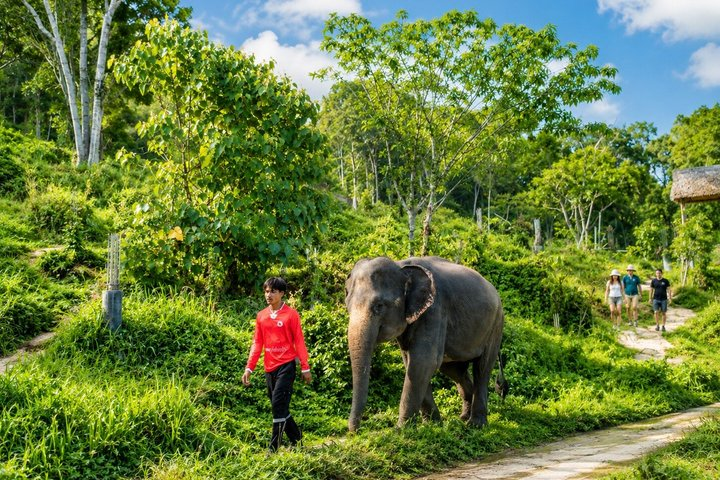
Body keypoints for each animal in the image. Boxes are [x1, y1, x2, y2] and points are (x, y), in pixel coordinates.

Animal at [345, 256, 504, 432]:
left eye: (379, 306)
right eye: (348, 307)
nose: (356, 430)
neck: (401, 266)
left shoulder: (435, 310)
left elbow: (422, 362)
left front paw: (401, 430)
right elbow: (413, 363)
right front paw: (432, 424)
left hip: (496, 325)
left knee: (482, 367)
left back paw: (476, 425)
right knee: (454, 370)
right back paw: (463, 417)